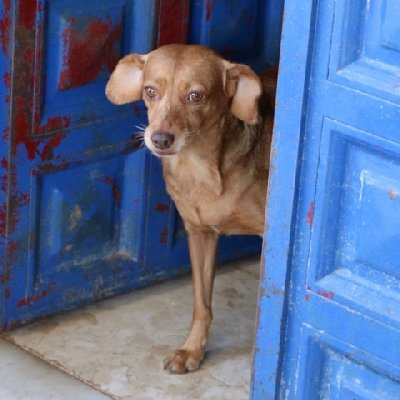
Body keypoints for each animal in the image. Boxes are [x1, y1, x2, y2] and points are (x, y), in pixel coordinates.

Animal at [106, 44, 276, 374]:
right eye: (150, 91)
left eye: (196, 96)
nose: (159, 139)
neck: (201, 169)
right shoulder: (199, 233)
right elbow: (202, 302)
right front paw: (192, 349)